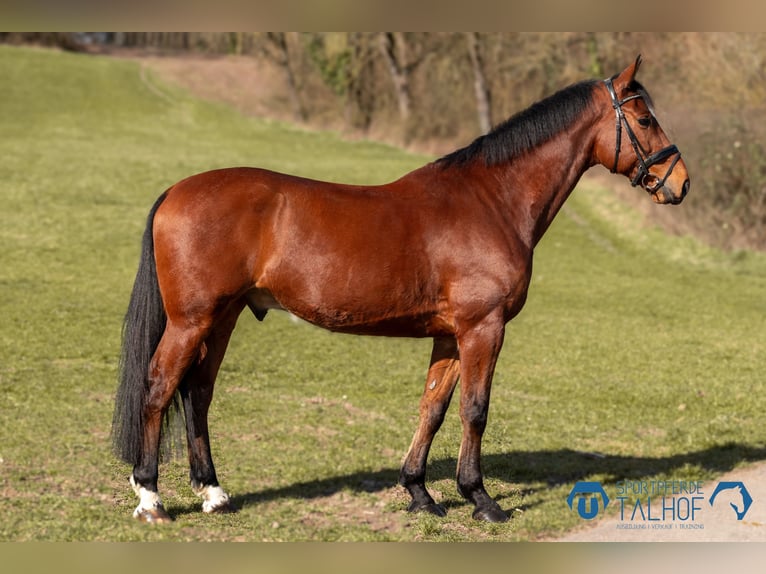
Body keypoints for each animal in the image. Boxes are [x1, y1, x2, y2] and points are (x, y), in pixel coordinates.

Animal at [112, 56, 689, 524]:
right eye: (643, 118)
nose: (680, 182)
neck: (491, 200)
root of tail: (176, 191)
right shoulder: (483, 328)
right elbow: (475, 409)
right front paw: (481, 499)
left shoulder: (451, 334)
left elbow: (433, 407)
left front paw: (419, 492)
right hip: (192, 320)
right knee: (159, 386)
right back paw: (151, 498)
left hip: (224, 317)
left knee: (198, 391)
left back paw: (213, 492)